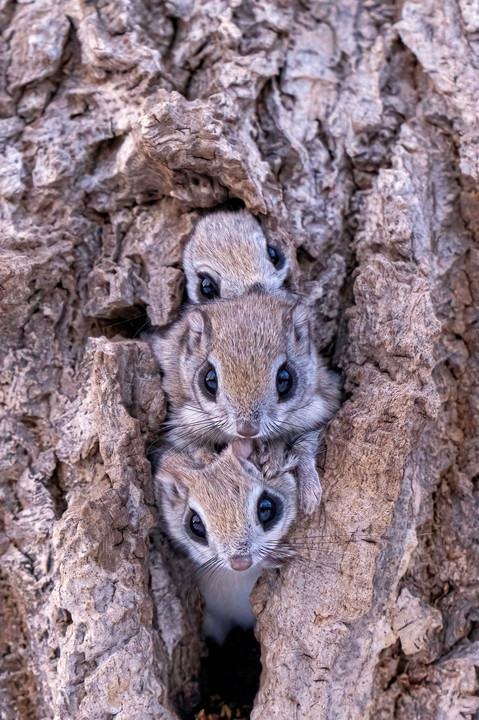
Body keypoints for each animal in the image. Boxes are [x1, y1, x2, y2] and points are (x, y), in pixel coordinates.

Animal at [152, 290, 340, 516]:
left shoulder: (320, 407)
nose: (247, 430)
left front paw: (306, 491)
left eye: (285, 379)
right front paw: (212, 463)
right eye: (209, 379)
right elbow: (194, 448)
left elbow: (304, 445)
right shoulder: (181, 420)